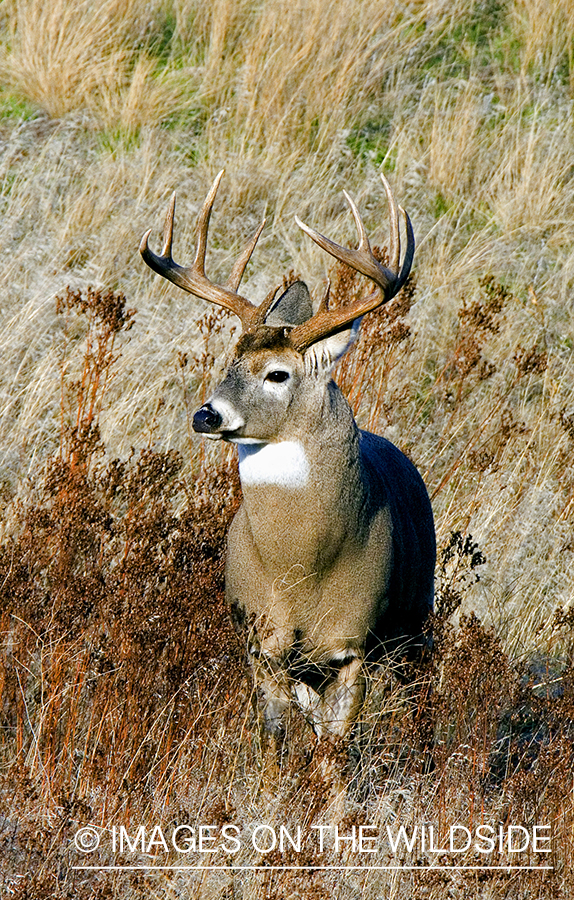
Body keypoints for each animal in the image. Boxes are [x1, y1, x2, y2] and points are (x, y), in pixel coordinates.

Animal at [141, 171, 436, 752]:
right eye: (228, 363)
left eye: (277, 374)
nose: (206, 415)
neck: (302, 570)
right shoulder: (262, 643)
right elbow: (276, 741)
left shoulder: (352, 646)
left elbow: (333, 752)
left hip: (414, 623)